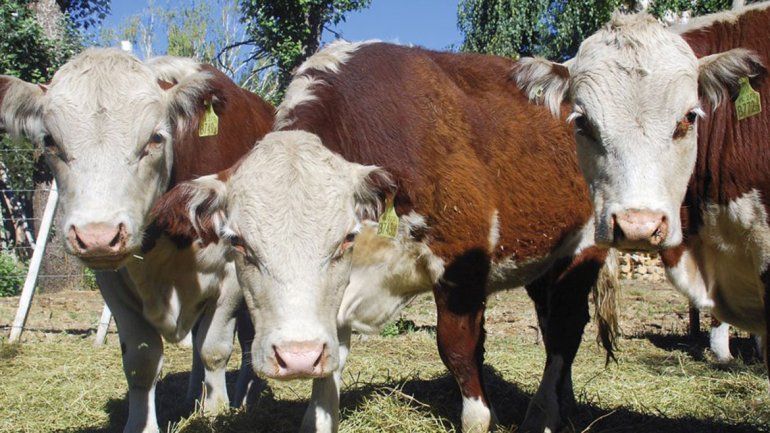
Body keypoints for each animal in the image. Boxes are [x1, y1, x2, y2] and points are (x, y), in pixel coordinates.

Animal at [0, 48, 274, 433]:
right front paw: (144, 423)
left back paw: (244, 397)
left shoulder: (231, 275)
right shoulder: (112, 281)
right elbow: (142, 361)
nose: (97, 236)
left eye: (156, 138)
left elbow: (215, 349)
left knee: (244, 339)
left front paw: (216, 412)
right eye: (50, 141)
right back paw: (193, 394)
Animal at [155, 40, 625, 433]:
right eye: (238, 242)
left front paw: (477, 417)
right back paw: (562, 402)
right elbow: (331, 373)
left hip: (582, 250)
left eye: (344, 238)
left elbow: (459, 349)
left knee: (564, 329)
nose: (297, 356)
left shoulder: (461, 267)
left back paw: (543, 413)